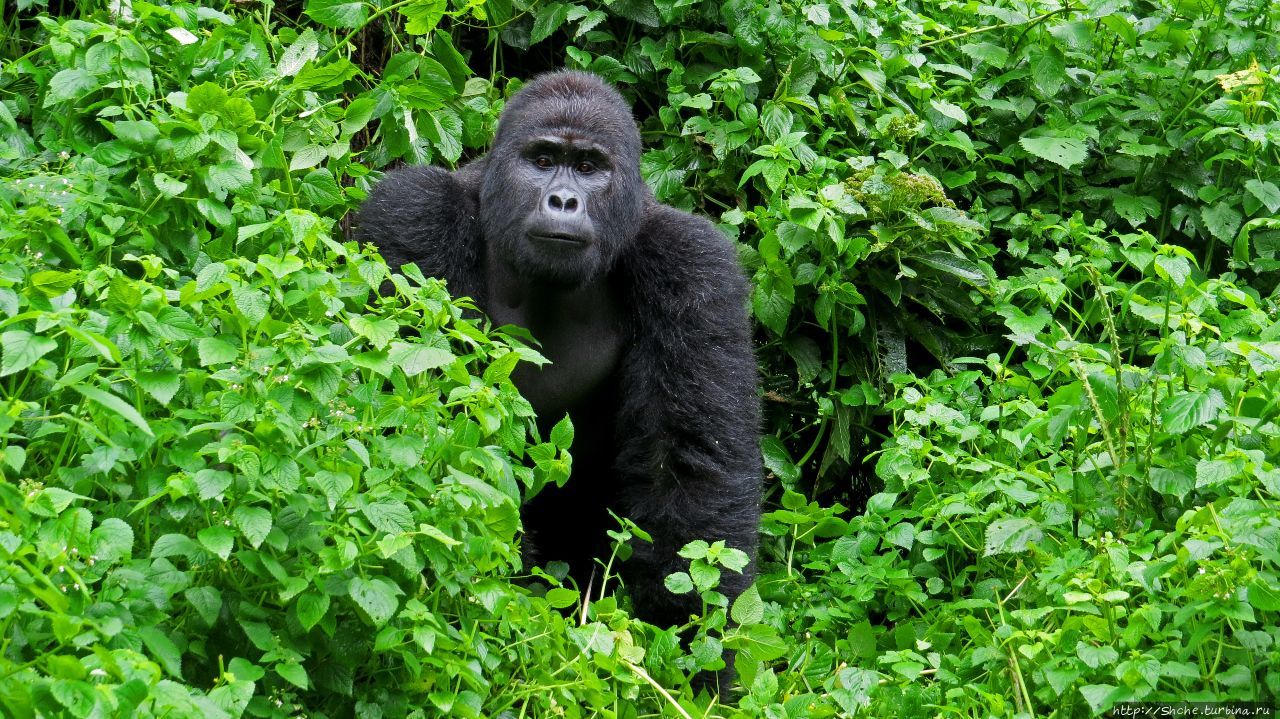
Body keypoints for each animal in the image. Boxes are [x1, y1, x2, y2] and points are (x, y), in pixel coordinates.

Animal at [355, 71, 757, 660]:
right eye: (543, 160)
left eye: (588, 168)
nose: (563, 200)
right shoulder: (411, 213)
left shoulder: (693, 263)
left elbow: (690, 473)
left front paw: (692, 655)